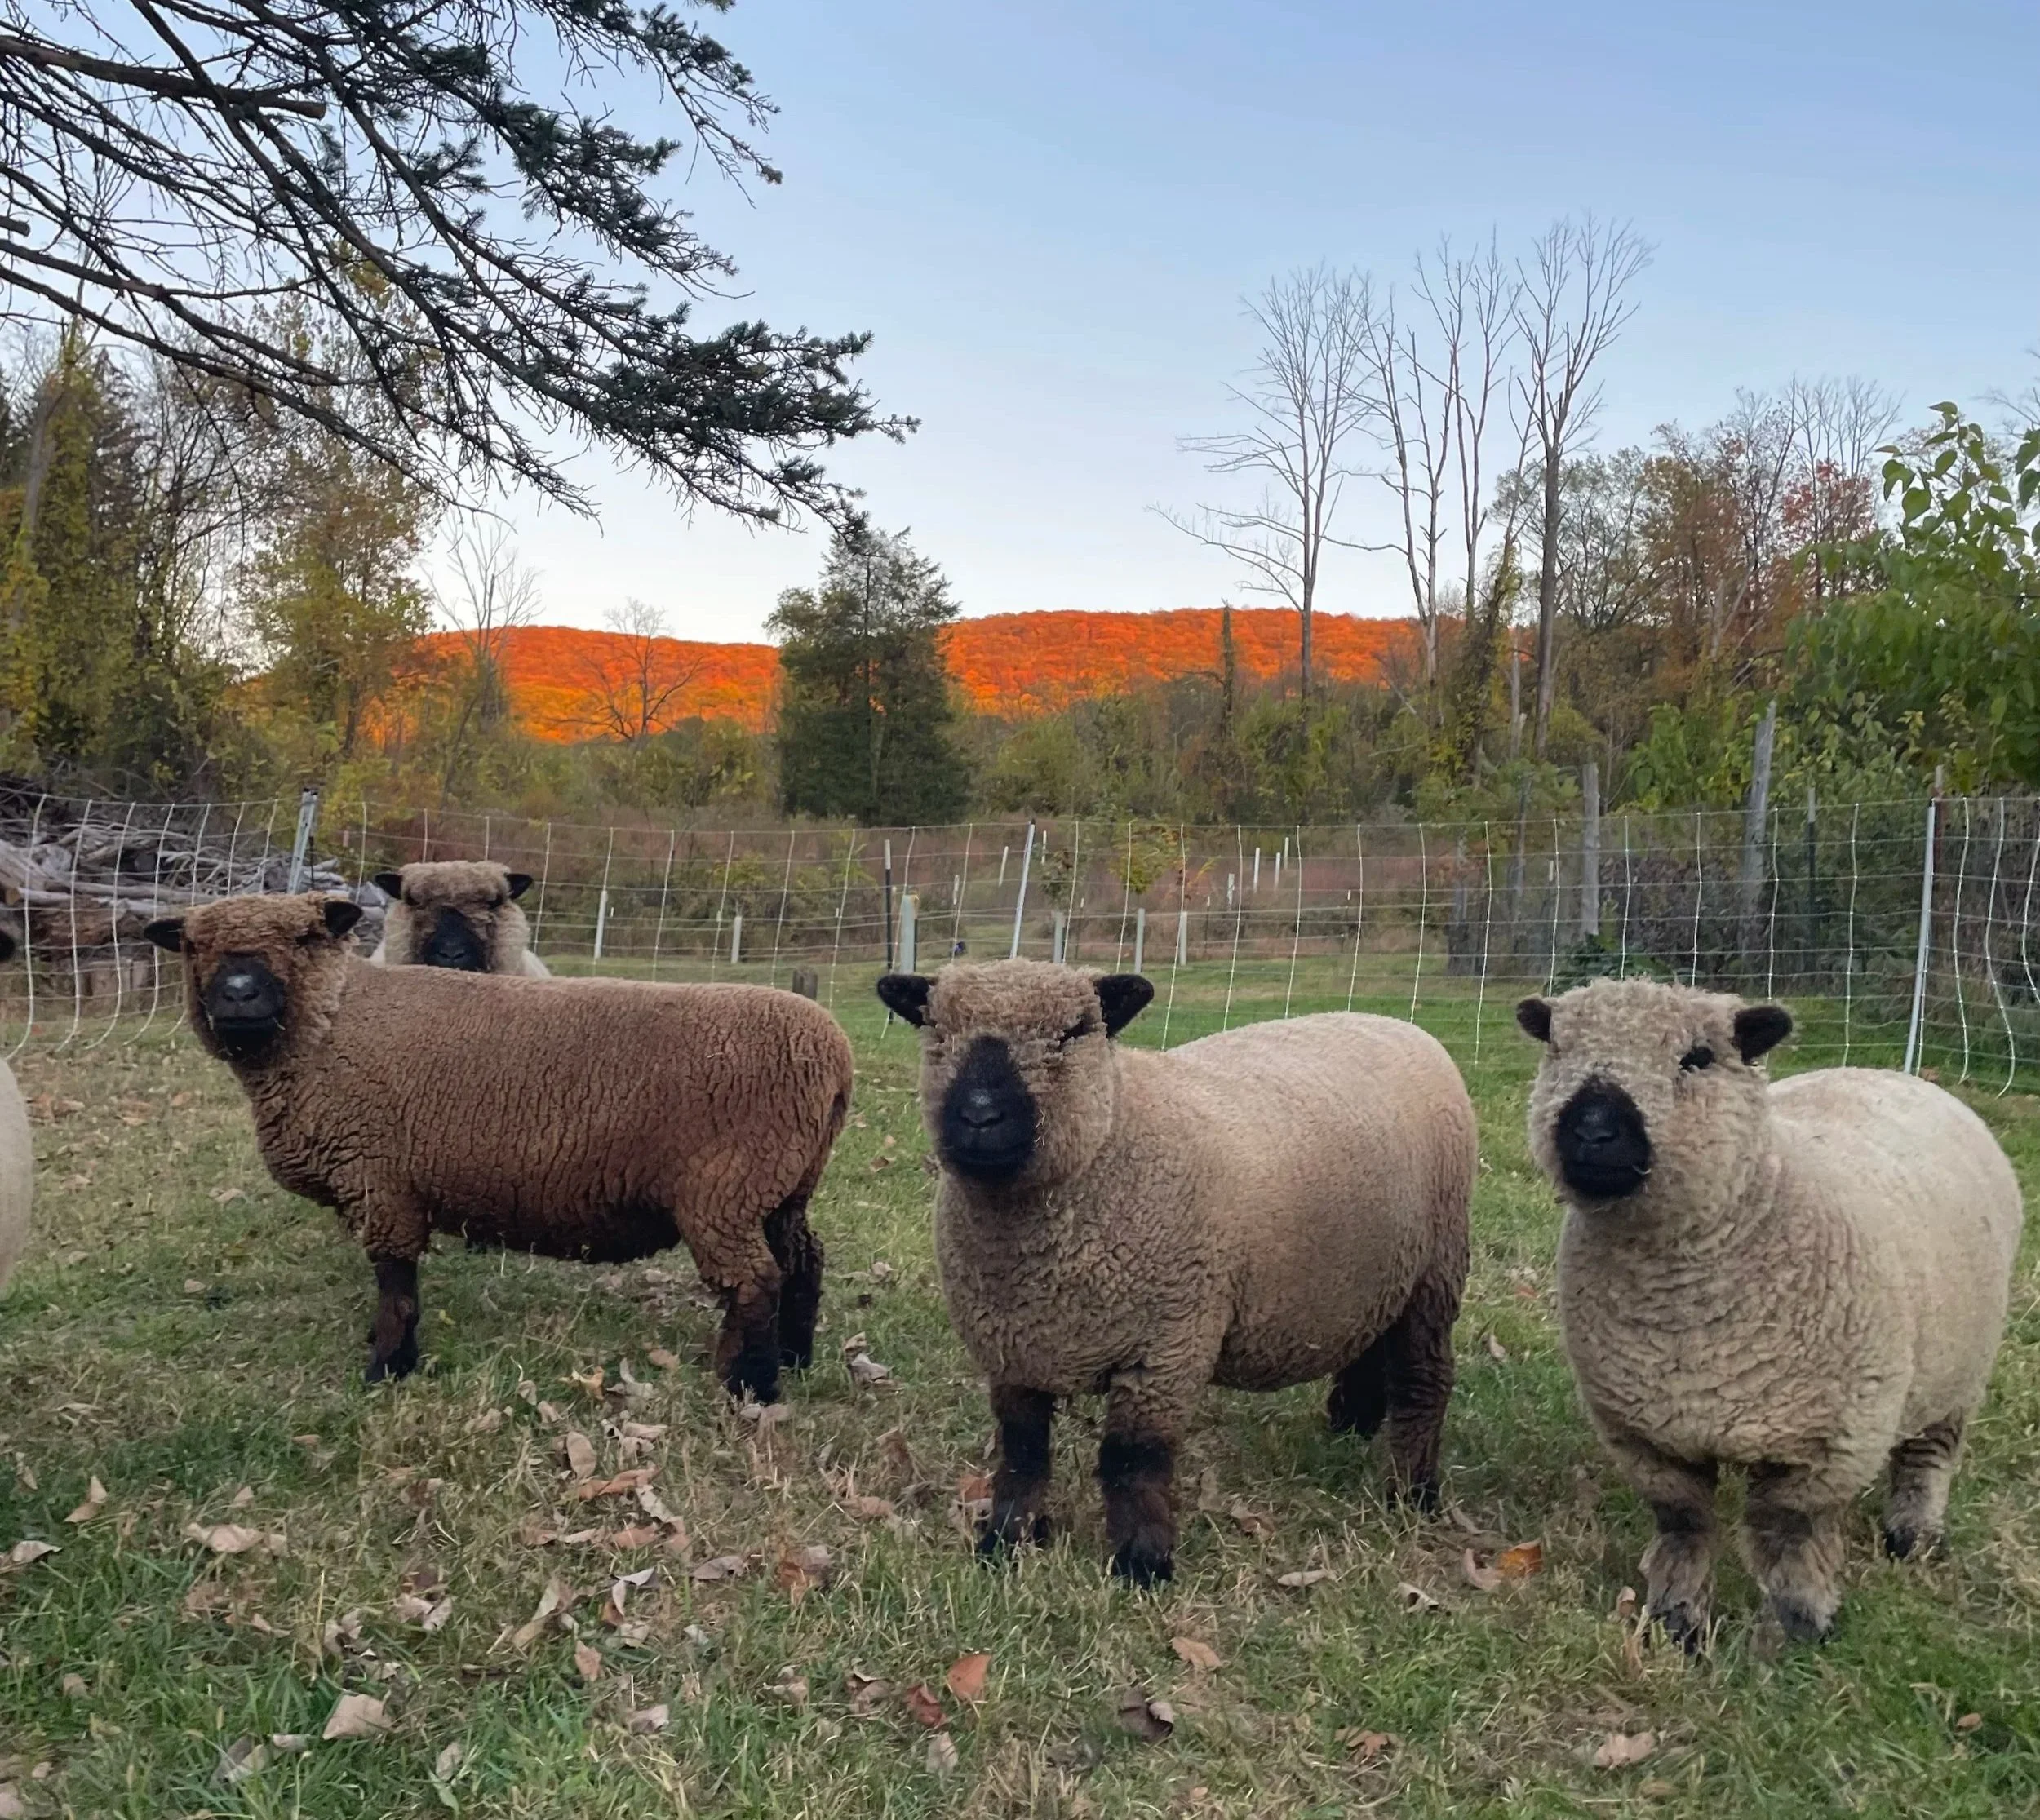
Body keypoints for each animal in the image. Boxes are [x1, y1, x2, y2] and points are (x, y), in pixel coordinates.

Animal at [144, 892, 852, 1393]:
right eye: (193, 943)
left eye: (304, 936)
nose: (238, 995)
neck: (332, 1021)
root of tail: (833, 1052)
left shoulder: (382, 1180)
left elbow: (396, 1286)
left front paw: (387, 1368)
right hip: (782, 1185)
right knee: (803, 1260)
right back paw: (796, 1358)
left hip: (725, 1188)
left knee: (755, 1279)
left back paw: (749, 1383)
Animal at [877, 959, 1475, 1586]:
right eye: (936, 1030)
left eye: (1075, 1031)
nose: (979, 1115)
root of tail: (1400, 1025)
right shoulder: (1011, 1349)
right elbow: (1021, 1450)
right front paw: (1004, 1540)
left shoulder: (1166, 1347)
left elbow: (1133, 1458)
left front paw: (1142, 1563)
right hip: (1375, 1273)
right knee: (1369, 1340)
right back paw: (1352, 1422)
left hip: (1436, 1268)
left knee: (1424, 1378)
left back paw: (1412, 1493)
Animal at [1518, 978, 2024, 1647]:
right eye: (1557, 1048)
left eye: (1698, 1057)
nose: (1592, 1131)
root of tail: (1899, 1074)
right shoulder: (1645, 1433)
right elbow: (1685, 1523)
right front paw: (1676, 1619)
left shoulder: (1824, 1442)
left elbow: (1787, 1532)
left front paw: (1799, 1627)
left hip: (1960, 1371)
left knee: (1927, 1457)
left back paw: (1913, 1537)